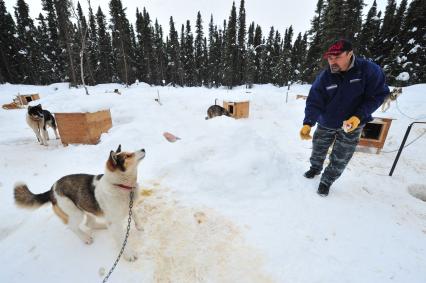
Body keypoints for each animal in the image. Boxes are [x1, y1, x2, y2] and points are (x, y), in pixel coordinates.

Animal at [13, 145, 146, 262]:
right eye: (128, 156)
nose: (143, 149)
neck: (119, 185)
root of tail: (51, 189)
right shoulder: (114, 223)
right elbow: (123, 240)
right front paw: (129, 254)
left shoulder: (130, 206)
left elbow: (135, 214)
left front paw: (139, 226)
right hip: (76, 213)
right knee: (72, 227)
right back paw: (85, 238)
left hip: (85, 206)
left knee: (89, 223)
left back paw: (102, 226)